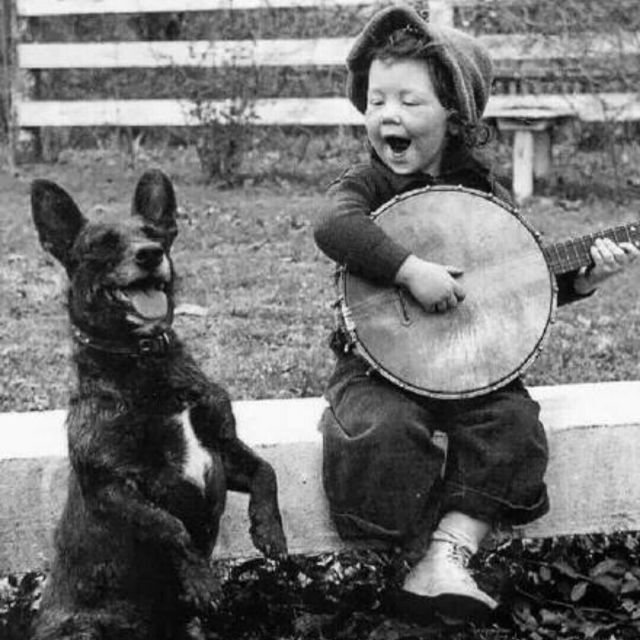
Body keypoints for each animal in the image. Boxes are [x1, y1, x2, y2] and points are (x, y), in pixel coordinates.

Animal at [30, 169, 287, 640]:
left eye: (156, 235)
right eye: (102, 244)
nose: (150, 255)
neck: (147, 361)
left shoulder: (222, 450)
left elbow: (266, 472)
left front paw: (270, 532)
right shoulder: (114, 487)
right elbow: (170, 526)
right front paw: (202, 580)